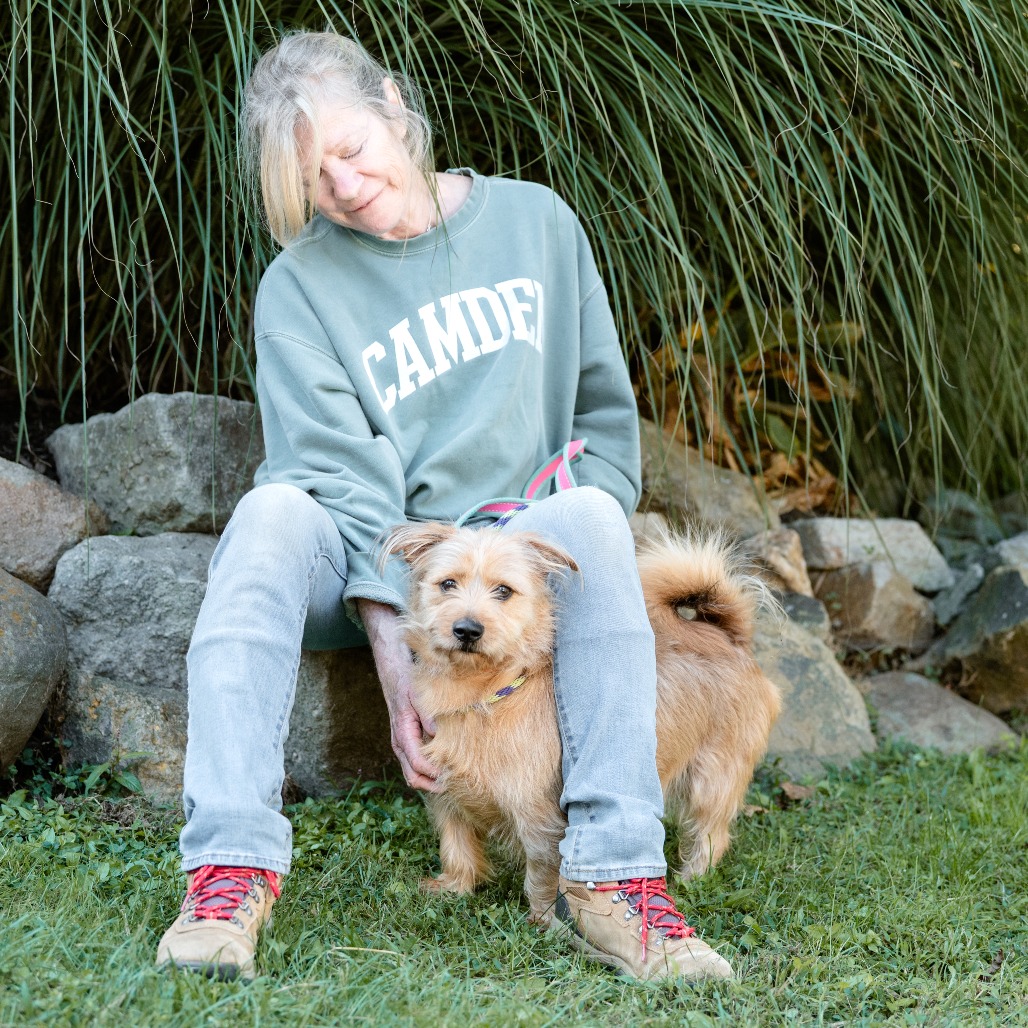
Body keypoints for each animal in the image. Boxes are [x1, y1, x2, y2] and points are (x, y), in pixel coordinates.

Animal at [382, 522, 781, 924]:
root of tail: (730, 638)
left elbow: (542, 873)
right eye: (447, 584)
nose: (467, 629)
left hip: (712, 780)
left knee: (712, 833)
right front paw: (454, 888)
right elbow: (456, 844)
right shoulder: (444, 794)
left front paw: (543, 920)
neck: (483, 695)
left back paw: (693, 876)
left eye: (504, 591)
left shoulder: (540, 817)